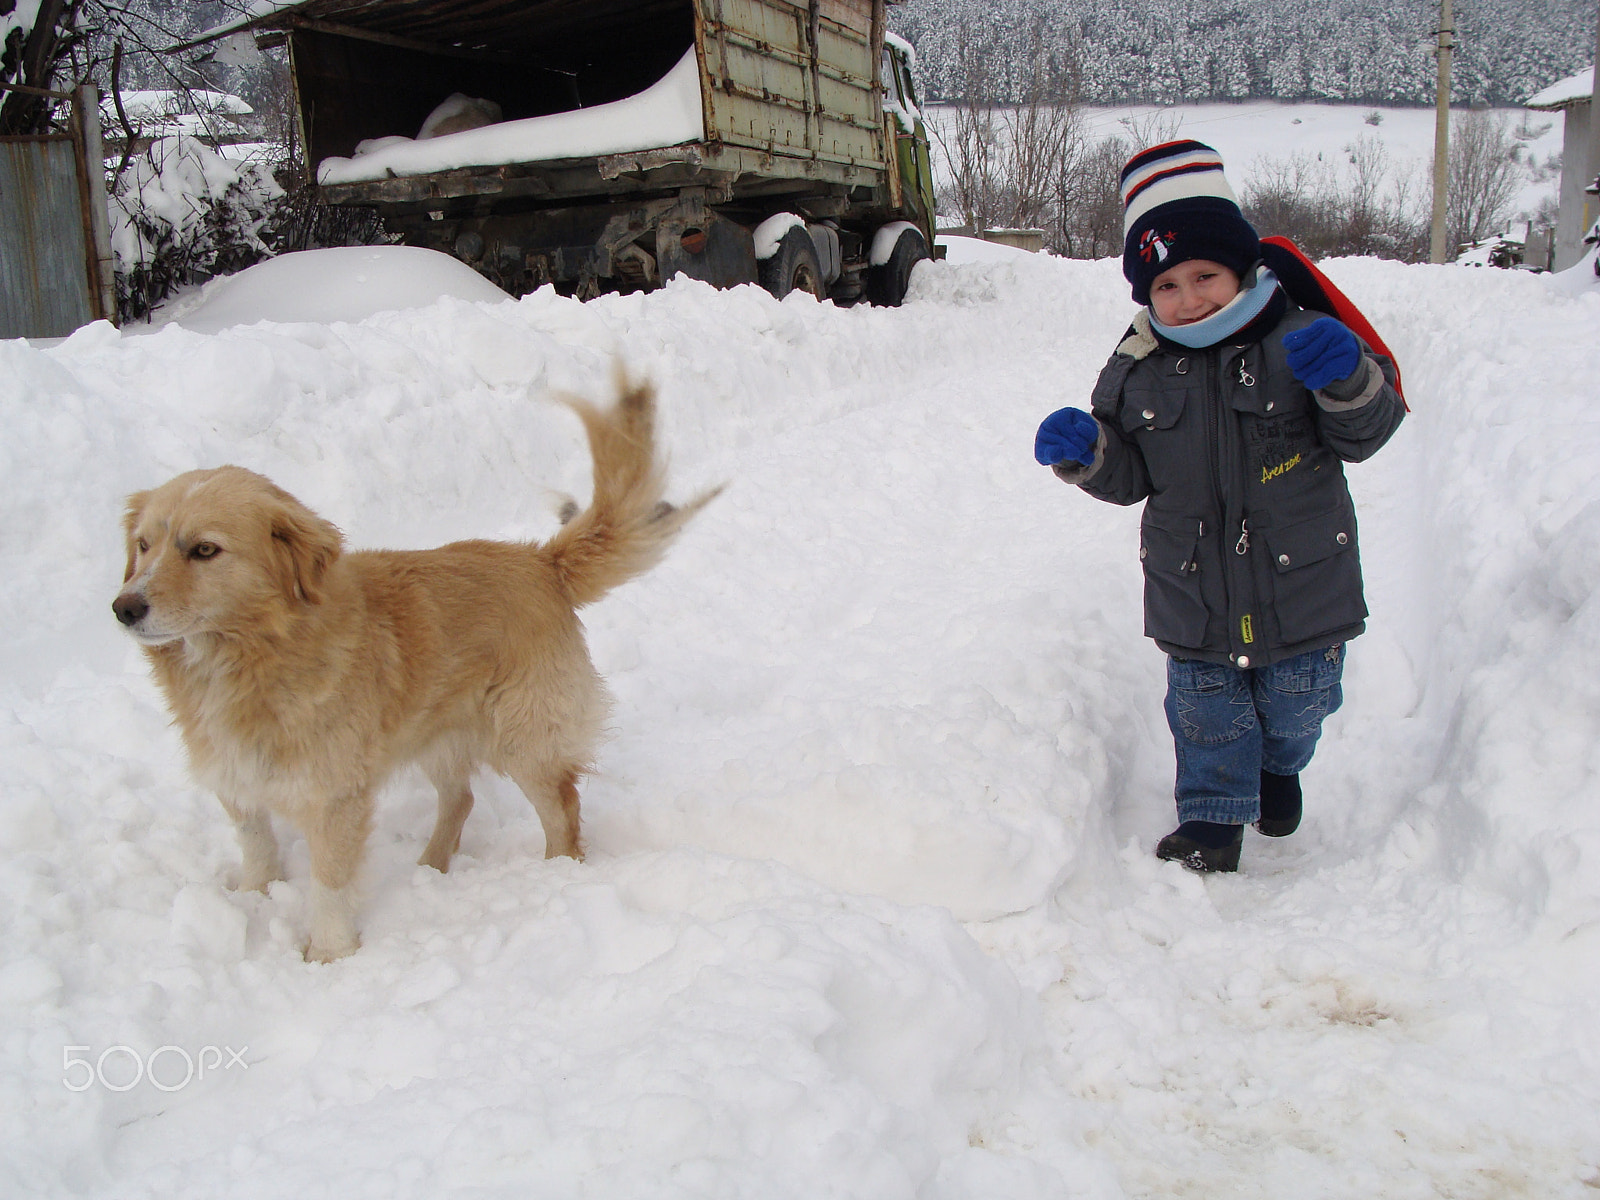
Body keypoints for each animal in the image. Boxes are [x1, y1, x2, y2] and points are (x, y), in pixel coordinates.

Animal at [112, 371, 713, 966]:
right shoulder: (237, 777)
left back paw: (554, 878)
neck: (255, 652)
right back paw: (431, 867)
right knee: (461, 798)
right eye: (143, 545)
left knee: (563, 808)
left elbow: (329, 880)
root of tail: (542, 562)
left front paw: (329, 953)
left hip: (525, 739)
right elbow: (257, 846)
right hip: (435, 730)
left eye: (204, 550)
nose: (123, 608)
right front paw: (254, 899)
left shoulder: (334, 796)